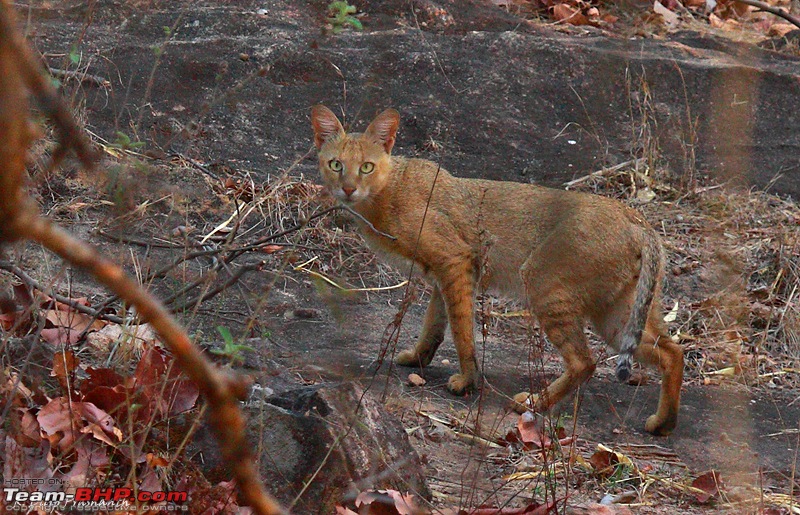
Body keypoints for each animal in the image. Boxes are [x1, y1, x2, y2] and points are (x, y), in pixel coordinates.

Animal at [310, 105, 684, 436]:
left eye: (367, 167)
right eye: (335, 164)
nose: (347, 188)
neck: (387, 191)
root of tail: (636, 219)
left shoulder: (455, 260)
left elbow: (462, 332)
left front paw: (466, 381)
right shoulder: (444, 273)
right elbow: (435, 323)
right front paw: (418, 358)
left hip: (545, 285)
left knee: (584, 361)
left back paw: (534, 402)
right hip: (618, 314)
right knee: (672, 352)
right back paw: (663, 424)